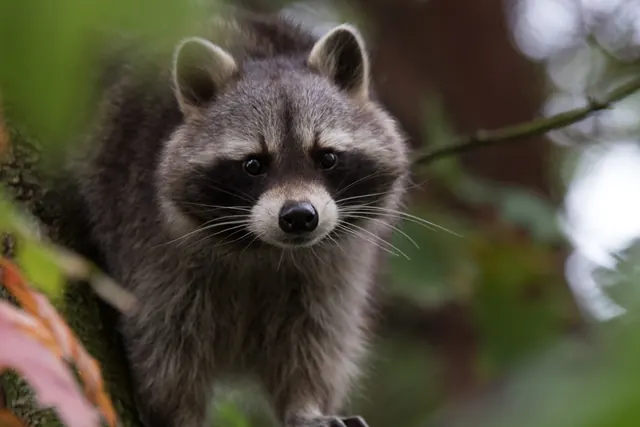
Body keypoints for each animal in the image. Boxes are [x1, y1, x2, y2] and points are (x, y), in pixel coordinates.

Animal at [63, 10, 410, 427]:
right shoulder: (147, 242)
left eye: (326, 157)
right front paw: (176, 413)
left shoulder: (335, 269)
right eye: (253, 165)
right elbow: (164, 345)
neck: (263, 249)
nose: (299, 217)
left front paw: (306, 404)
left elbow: (315, 340)